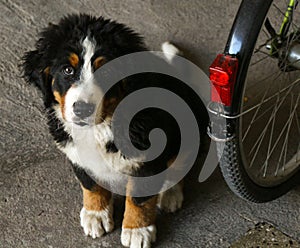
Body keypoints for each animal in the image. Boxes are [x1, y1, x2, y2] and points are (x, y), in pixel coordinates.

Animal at [21, 14, 209, 248]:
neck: (102, 125)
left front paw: (137, 230)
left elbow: (139, 197)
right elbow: (90, 183)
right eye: (67, 70)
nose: (82, 109)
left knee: (180, 162)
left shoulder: (148, 160)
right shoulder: (75, 153)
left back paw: (170, 195)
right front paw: (96, 214)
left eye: (108, 71)